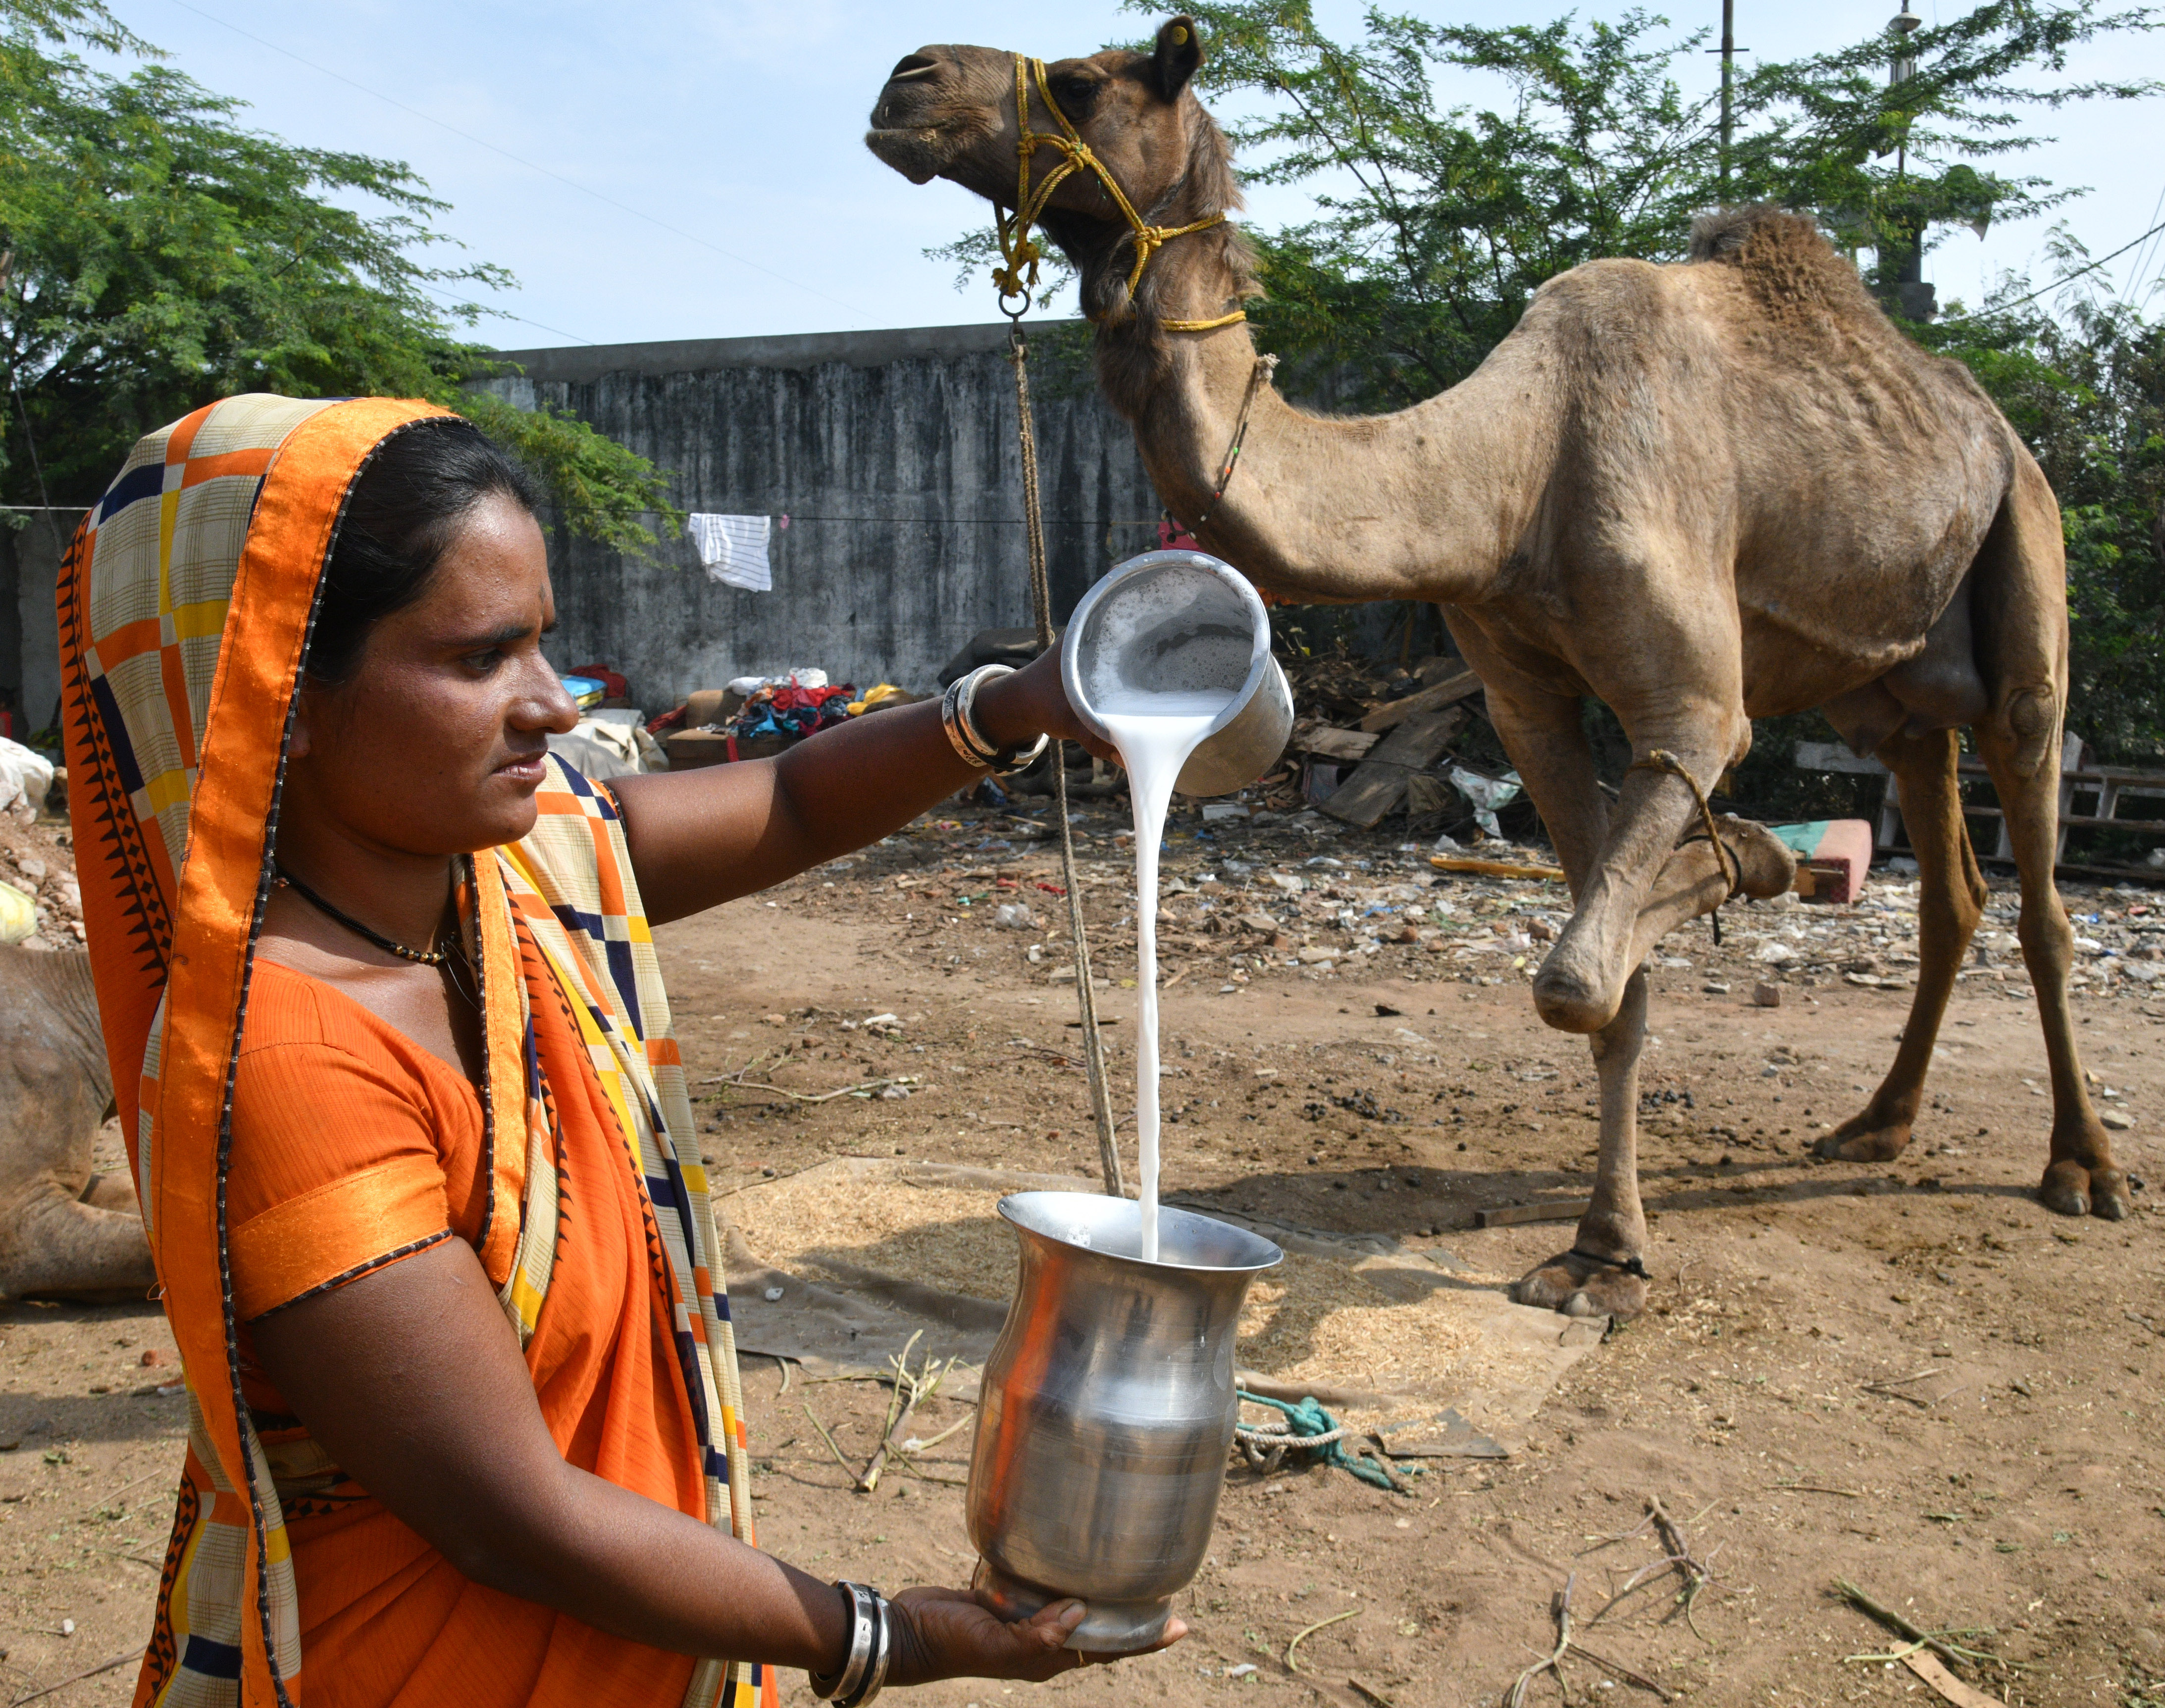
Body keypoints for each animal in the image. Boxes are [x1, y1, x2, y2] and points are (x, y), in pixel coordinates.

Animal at [862, 16, 2113, 1316]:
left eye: (1078, 83)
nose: (907, 82)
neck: (1510, 475)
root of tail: (1993, 426)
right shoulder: (1522, 694)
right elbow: (1606, 979)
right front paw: (1602, 1247)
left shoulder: (1688, 707)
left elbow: (1575, 973)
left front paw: (1746, 863)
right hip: (1890, 693)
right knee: (1947, 878)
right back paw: (1874, 1124)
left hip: (2026, 554)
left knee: (2038, 875)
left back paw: (2079, 1166)